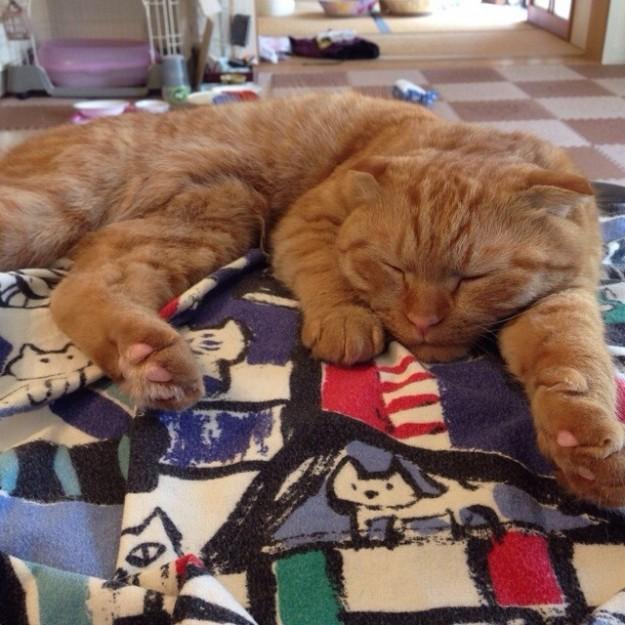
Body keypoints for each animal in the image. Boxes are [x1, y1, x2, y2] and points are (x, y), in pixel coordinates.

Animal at [0, 91, 621, 506]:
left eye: (473, 277)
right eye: (393, 267)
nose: (422, 320)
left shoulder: (564, 297)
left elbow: (574, 358)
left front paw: (585, 440)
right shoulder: (308, 219)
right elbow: (328, 271)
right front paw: (346, 320)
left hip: (211, 221)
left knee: (81, 287)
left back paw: (149, 361)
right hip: (63, 206)